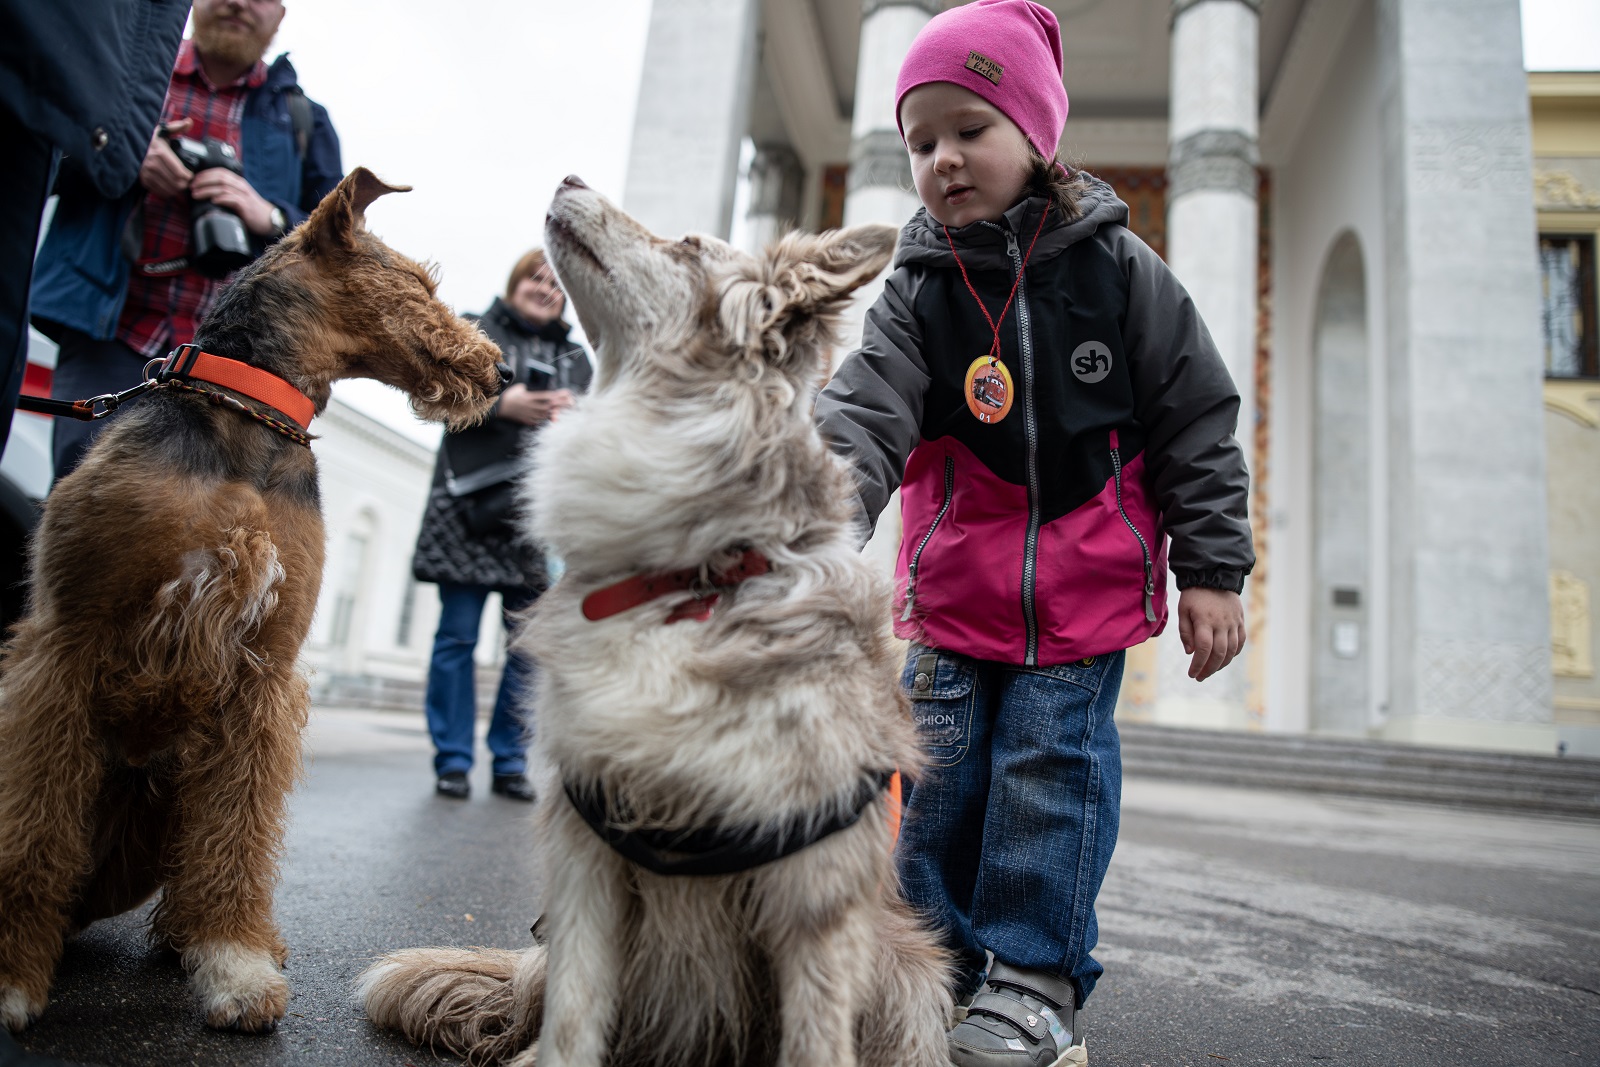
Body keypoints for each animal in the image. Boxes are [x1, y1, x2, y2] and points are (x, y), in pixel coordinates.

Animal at [0, 167, 505, 1036]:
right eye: (418, 282)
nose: (502, 373)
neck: (250, 410)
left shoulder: (264, 670)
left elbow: (237, 832)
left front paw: (233, 963)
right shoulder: (63, 645)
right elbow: (34, 825)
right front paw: (10, 976)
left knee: (193, 866)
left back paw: (219, 937)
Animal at [361, 181, 953, 1067]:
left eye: (687, 245)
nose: (569, 178)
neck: (690, 574)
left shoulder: (816, 895)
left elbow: (816, 1039)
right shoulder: (586, 856)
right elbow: (572, 1022)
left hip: (914, 976)